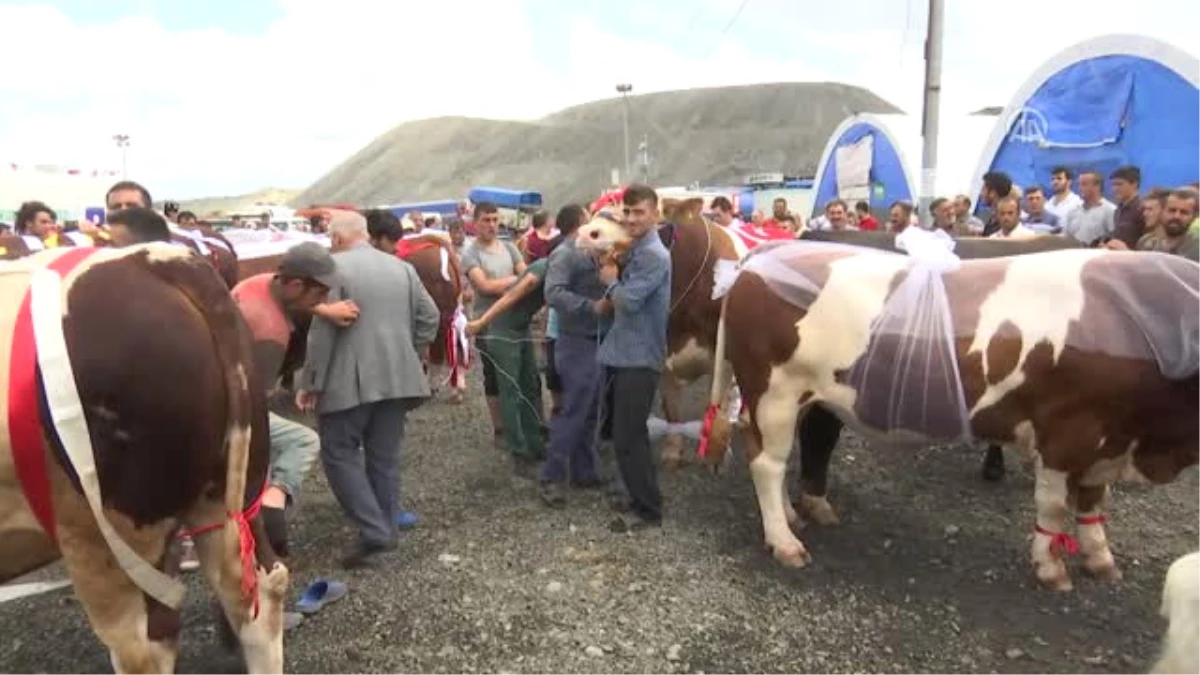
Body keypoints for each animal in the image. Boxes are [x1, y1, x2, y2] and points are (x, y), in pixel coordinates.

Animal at [700, 241, 1200, 588]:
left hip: (802, 397)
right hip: (774, 392)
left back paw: (792, 516)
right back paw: (785, 542)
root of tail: (762, 258)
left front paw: (1100, 558)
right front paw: (1051, 567)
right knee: (767, 463)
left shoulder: (1109, 441)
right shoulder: (1065, 433)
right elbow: (1055, 506)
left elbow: (1095, 502)